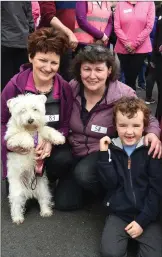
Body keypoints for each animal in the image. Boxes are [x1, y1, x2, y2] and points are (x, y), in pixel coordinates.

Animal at [4, 93, 65, 223]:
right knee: (16, 205)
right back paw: (17, 218)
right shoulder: (10, 139)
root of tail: (29, 192)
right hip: (17, 191)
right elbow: (21, 134)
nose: (30, 120)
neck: (30, 129)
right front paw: (28, 142)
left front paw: (59, 138)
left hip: (43, 188)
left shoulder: (41, 132)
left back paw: (46, 211)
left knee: (43, 200)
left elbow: (47, 129)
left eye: (35, 109)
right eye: (22, 111)